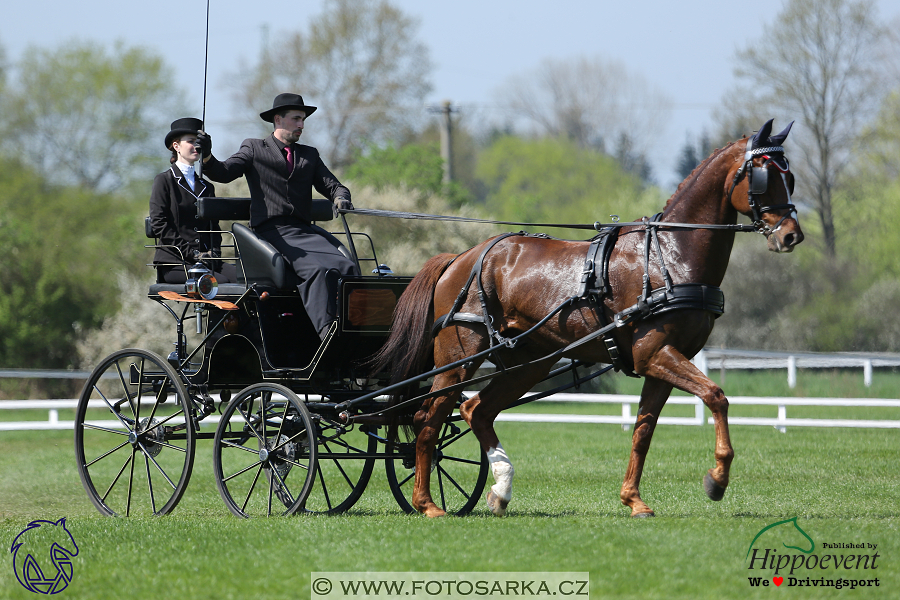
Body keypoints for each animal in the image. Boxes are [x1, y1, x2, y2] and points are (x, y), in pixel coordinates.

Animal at [372, 119, 800, 516]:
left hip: (527, 363)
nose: (791, 235)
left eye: (790, 177)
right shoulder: (655, 353)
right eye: (764, 176)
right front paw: (717, 479)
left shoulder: (659, 363)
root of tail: (459, 259)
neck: (668, 255)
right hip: (459, 358)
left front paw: (633, 499)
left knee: (476, 410)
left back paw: (501, 490)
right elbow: (716, 397)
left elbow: (643, 431)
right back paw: (427, 502)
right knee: (428, 418)